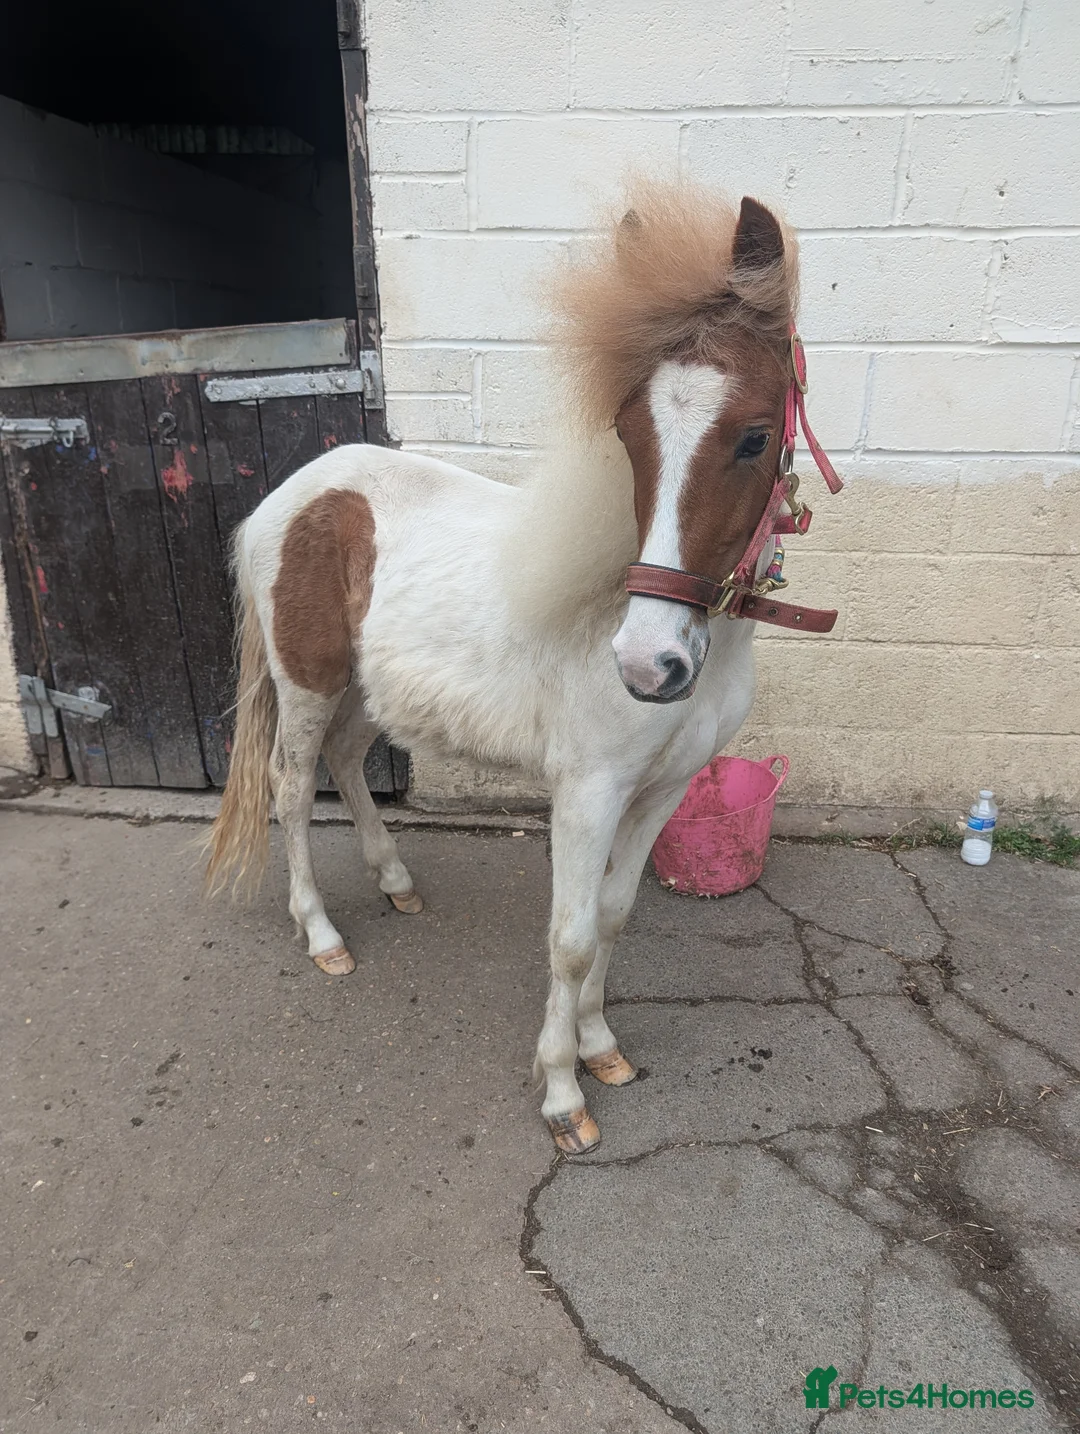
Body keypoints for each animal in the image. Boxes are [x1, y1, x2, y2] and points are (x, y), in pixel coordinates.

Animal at [204, 181, 843, 1153]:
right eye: (627, 432)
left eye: (754, 436)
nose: (648, 666)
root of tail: (295, 495)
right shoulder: (586, 793)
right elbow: (571, 937)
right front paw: (563, 1095)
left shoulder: (662, 790)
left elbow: (613, 917)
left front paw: (602, 1049)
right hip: (306, 682)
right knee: (290, 789)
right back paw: (322, 937)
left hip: (366, 689)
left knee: (347, 762)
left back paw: (396, 885)